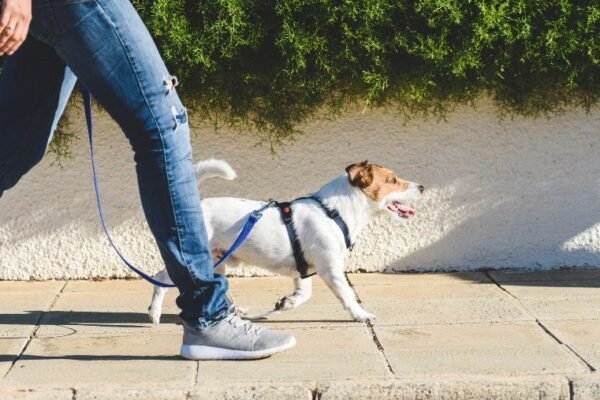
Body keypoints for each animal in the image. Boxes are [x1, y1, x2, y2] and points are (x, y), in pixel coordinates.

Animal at [148, 159, 424, 322]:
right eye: (392, 180)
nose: (422, 187)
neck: (334, 211)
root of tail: (197, 207)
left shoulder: (303, 270)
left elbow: (303, 294)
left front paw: (287, 303)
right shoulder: (331, 270)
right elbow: (347, 295)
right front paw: (360, 314)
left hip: (218, 261)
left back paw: (237, 312)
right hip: (195, 259)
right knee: (161, 278)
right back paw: (155, 313)